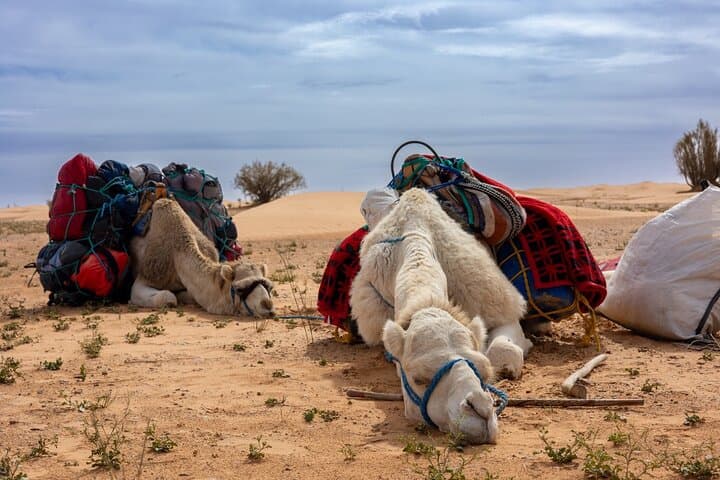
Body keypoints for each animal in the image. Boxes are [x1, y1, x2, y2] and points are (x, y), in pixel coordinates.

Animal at [130, 198, 275, 317]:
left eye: (269, 286)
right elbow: (168, 297)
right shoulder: (148, 275)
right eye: (239, 289)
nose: (268, 306)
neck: (177, 253)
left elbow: (191, 296)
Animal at [350, 188, 531, 444]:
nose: (480, 410)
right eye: (418, 379)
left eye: (484, 370)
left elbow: (502, 349)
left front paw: (508, 366)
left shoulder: (497, 307)